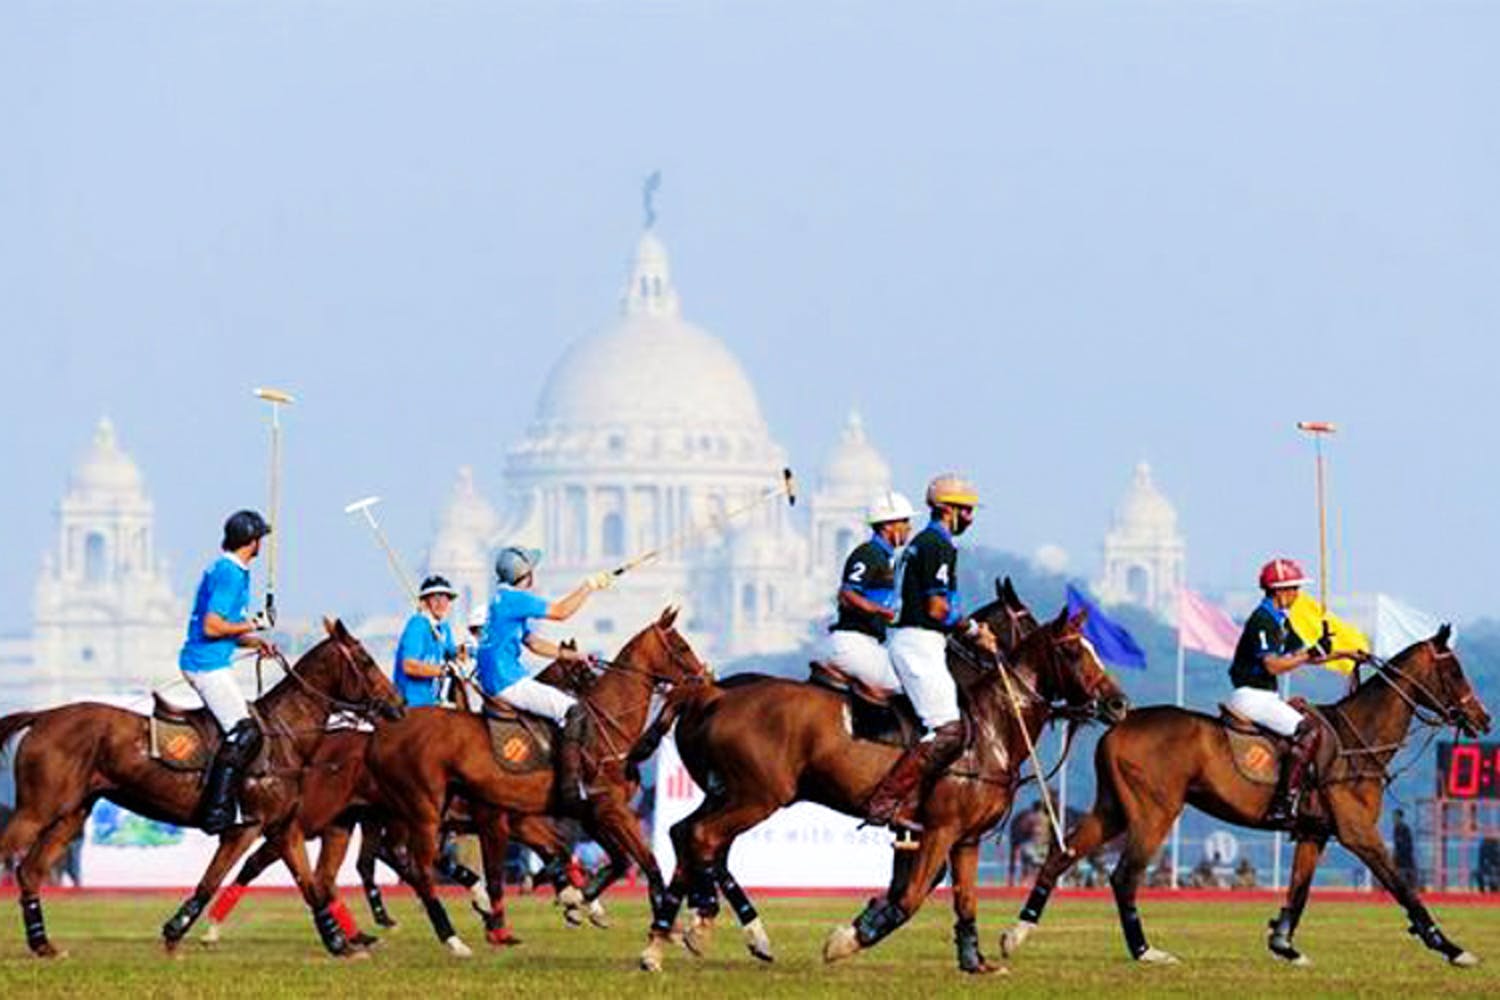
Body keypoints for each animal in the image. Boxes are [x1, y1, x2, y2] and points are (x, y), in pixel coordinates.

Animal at [0, 620, 402, 959]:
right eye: (366, 660)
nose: (398, 706)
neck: (284, 734)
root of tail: (42, 715)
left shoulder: (283, 827)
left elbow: (311, 885)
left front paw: (340, 944)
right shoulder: (245, 827)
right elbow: (211, 881)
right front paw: (174, 932)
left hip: (71, 814)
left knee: (30, 871)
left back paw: (44, 946)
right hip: (37, 810)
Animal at [639, 590, 1128, 971]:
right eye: (1072, 651)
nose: (1118, 704)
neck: (991, 726)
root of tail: (711, 692)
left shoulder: (963, 837)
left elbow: (963, 899)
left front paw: (975, 962)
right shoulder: (939, 829)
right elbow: (908, 898)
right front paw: (847, 938)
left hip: (726, 792)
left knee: (686, 835)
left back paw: (665, 941)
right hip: (757, 796)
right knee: (704, 838)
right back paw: (702, 929)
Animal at [1002, 629, 1494, 965]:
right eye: (1453, 671)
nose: (1483, 719)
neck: (1360, 740)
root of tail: (1117, 725)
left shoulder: (1315, 833)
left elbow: (1299, 892)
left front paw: (1284, 944)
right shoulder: (1358, 833)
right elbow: (1404, 887)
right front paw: (1451, 947)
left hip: (1112, 810)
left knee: (1061, 855)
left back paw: (1016, 933)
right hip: (1155, 812)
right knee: (1124, 875)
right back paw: (1144, 951)